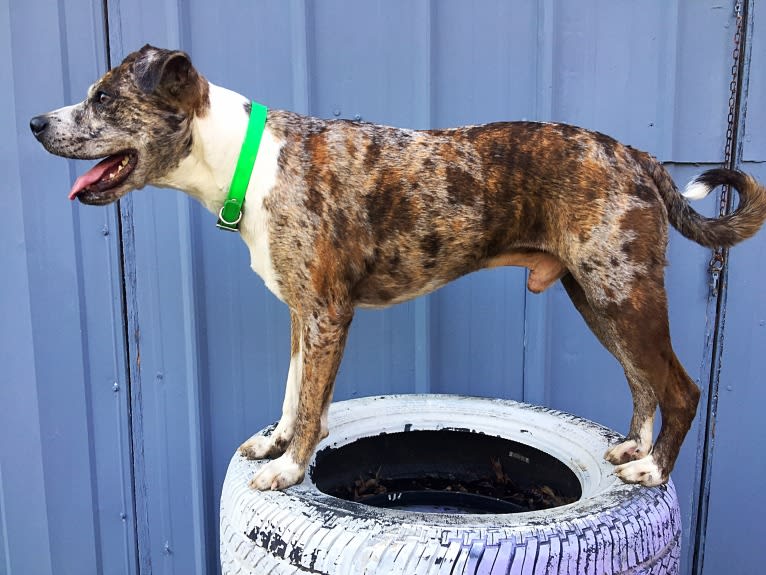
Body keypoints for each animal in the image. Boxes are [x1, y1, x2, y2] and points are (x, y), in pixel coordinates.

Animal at [30, 47, 766, 492]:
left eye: (103, 98)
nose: (35, 121)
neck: (247, 159)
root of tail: (637, 155)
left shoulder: (328, 313)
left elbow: (313, 403)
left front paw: (289, 469)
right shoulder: (302, 314)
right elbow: (294, 395)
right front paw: (275, 445)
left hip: (623, 292)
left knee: (680, 388)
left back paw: (654, 471)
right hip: (597, 294)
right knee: (642, 380)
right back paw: (633, 449)